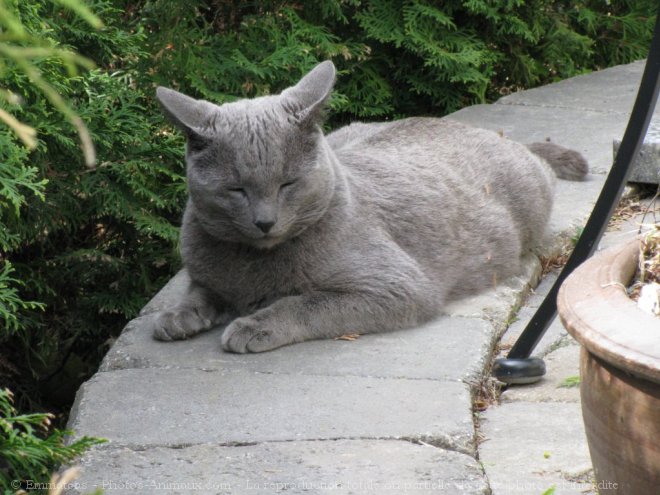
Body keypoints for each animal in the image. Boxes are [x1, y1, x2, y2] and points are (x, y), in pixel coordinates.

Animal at [151, 60, 588, 352]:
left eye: (288, 184)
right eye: (236, 189)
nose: (264, 222)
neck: (252, 265)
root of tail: (494, 133)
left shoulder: (396, 286)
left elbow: (305, 302)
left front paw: (255, 326)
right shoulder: (207, 272)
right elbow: (200, 291)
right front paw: (176, 317)